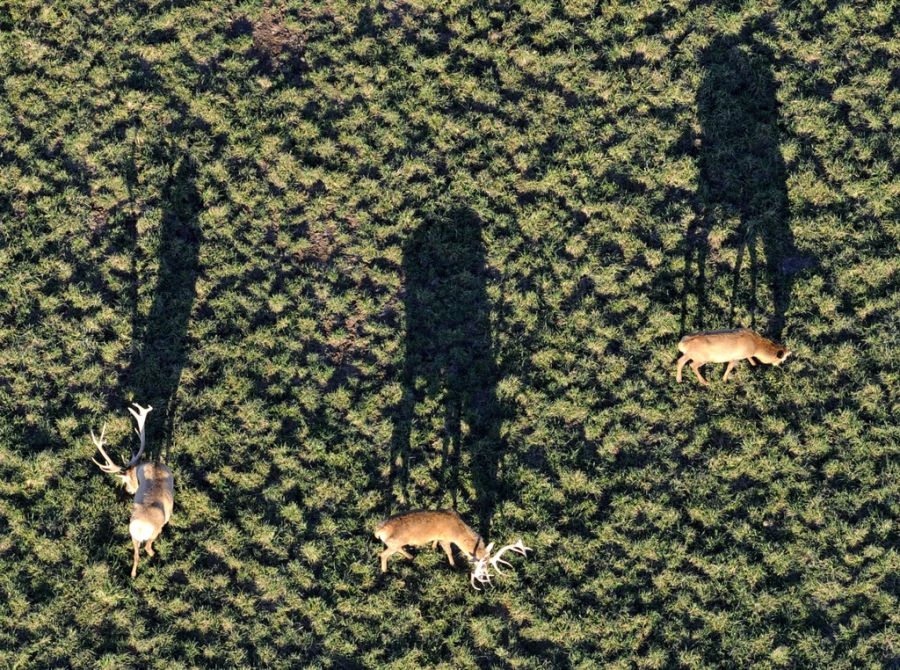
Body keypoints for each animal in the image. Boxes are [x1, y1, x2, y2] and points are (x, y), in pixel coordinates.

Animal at [91, 403, 174, 578]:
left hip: (132, 535)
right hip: (154, 531)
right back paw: (154, 556)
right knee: (148, 548)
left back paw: (133, 574)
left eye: (126, 481)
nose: (129, 490)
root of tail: (141, 528)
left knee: (136, 555)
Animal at [374, 509, 531, 589]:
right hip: (394, 543)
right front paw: (453, 565)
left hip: (395, 543)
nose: (483, 577)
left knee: (395, 550)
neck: (458, 532)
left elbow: (436, 541)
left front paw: (433, 547)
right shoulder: (446, 538)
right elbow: (449, 551)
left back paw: (411, 557)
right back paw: (385, 572)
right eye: (479, 564)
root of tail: (378, 531)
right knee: (383, 554)